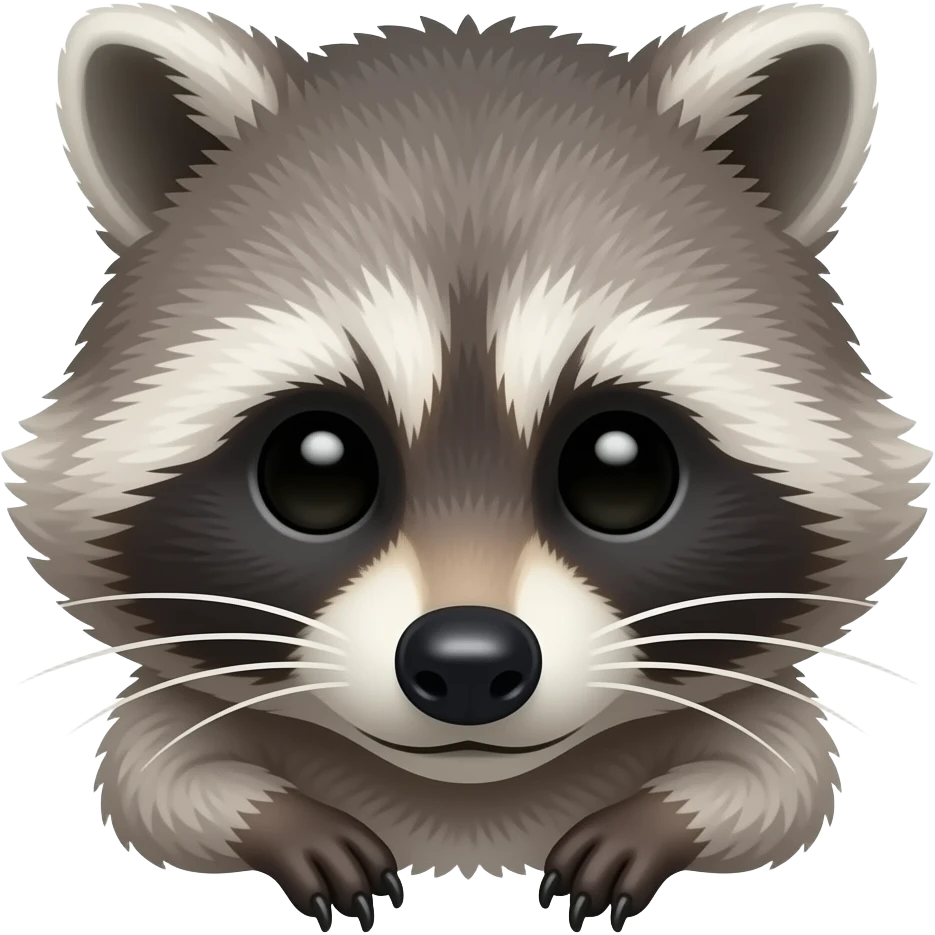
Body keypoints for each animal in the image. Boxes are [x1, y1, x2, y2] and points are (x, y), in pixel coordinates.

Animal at [6, 3, 926, 932]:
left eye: (621, 470)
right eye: (313, 469)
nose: (470, 662)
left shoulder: (751, 704)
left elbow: (784, 775)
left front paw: (660, 818)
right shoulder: (181, 705)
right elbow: (150, 777)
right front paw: (278, 818)